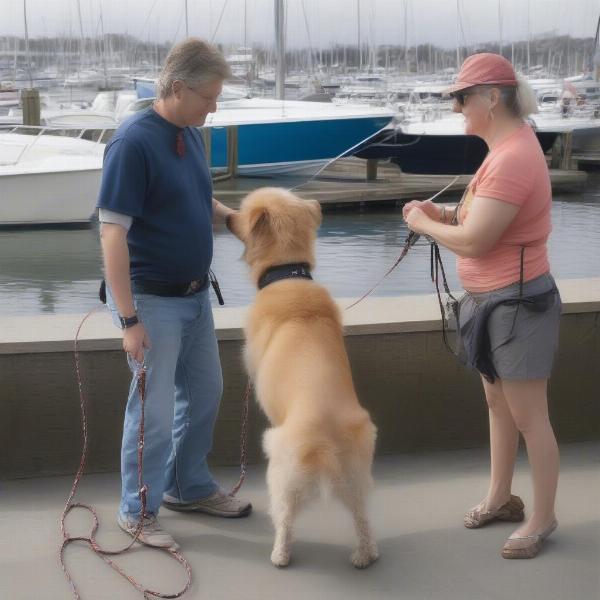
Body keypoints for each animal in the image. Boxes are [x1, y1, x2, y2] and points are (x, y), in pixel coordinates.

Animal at [227, 186, 378, 568]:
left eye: (243, 212)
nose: (227, 217)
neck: (287, 274)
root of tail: (325, 439)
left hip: (281, 470)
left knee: (285, 520)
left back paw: (280, 555)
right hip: (358, 476)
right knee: (362, 518)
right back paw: (365, 555)